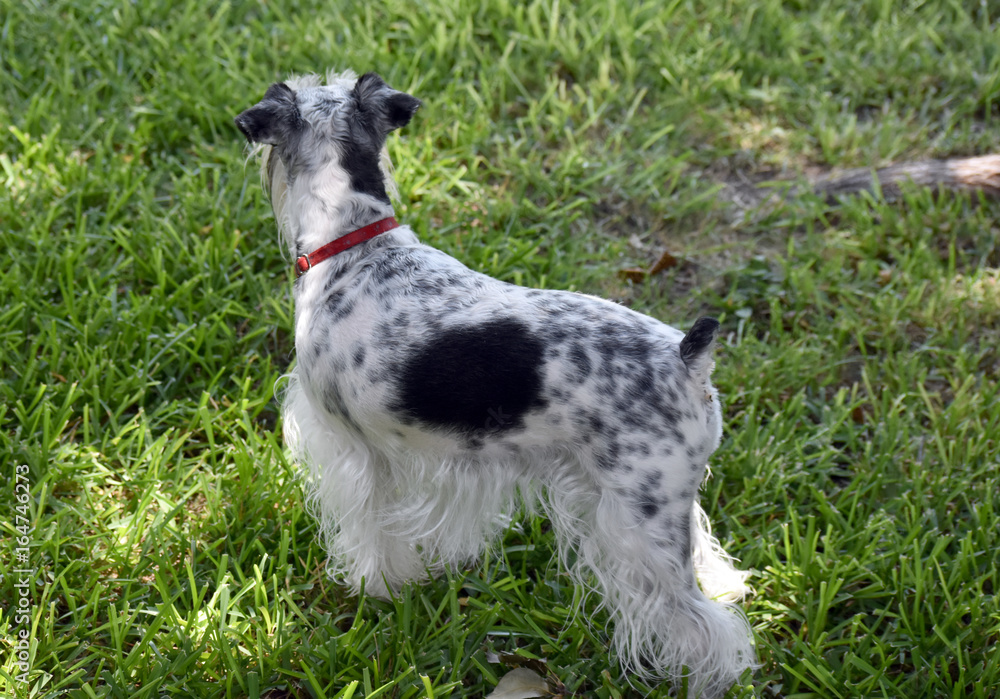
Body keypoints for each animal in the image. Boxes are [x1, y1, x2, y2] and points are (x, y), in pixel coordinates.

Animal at [232, 69, 752, 696]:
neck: (355, 246)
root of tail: (687, 360)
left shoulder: (355, 454)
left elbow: (372, 534)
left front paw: (375, 591)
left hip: (639, 520)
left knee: (703, 625)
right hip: (669, 506)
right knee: (708, 566)